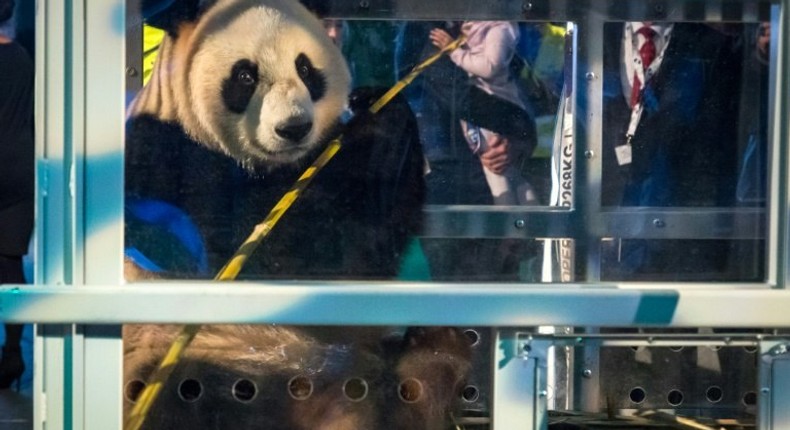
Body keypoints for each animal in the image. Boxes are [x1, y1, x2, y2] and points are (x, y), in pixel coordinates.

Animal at [120, 1, 474, 428]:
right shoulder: (166, 162)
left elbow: (360, 254)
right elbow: (283, 258)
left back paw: (433, 360)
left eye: (305, 68)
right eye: (245, 75)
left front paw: (380, 107)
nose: (294, 128)